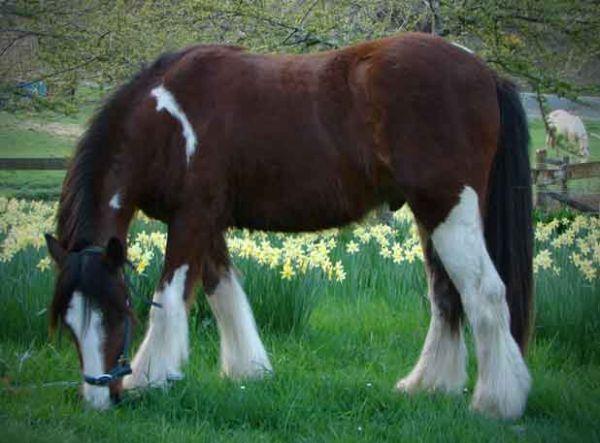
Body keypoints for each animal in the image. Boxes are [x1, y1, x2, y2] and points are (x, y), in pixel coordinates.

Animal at [45, 33, 536, 418]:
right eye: (69, 324)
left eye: (117, 313)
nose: (100, 401)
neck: (167, 120)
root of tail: (483, 71)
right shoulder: (206, 222)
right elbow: (224, 291)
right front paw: (249, 371)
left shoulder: (190, 218)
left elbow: (169, 298)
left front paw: (150, 378)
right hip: (432, 215)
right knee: (447, 293)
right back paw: (429, 386)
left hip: (448, 207)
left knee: (484, 293)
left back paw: (496, 402)